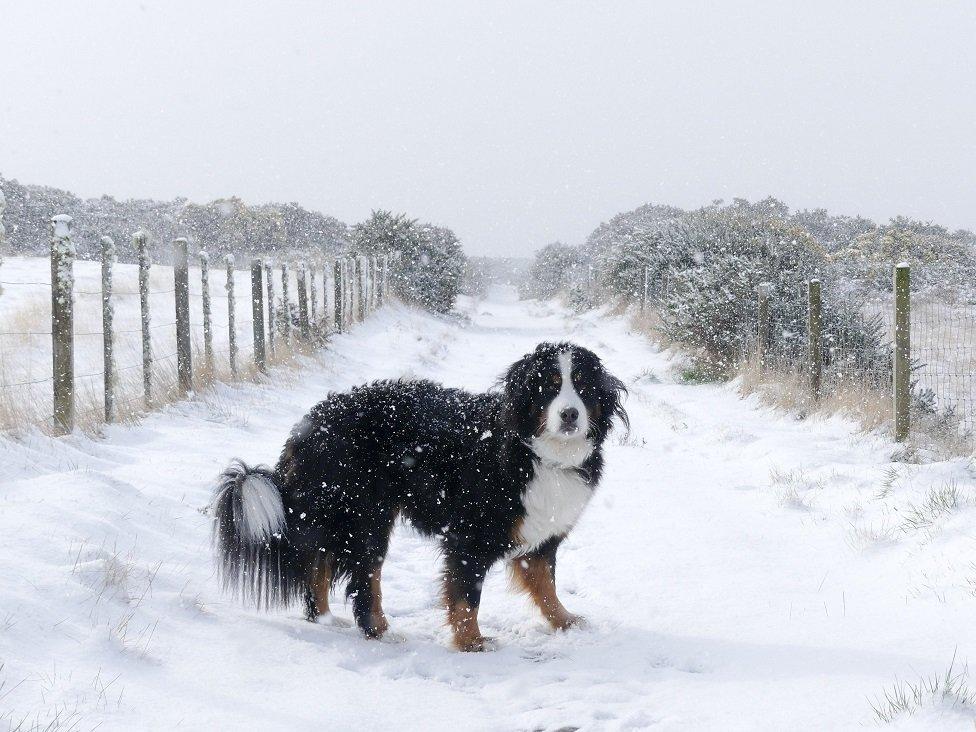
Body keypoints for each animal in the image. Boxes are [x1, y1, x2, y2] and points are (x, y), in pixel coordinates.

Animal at [210, 344, 628, 652]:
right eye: (549, 387)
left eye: (583, 387)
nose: (570, 414)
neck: (536, 452)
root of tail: (307, 425)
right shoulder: (469, 535)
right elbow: (466, 595)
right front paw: (472, 642)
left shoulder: (543, 533)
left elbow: (545, 584)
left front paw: (566, 621)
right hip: (365, 517)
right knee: (363, 579)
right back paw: (379, 630)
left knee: (317, 569)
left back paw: (328, 620)